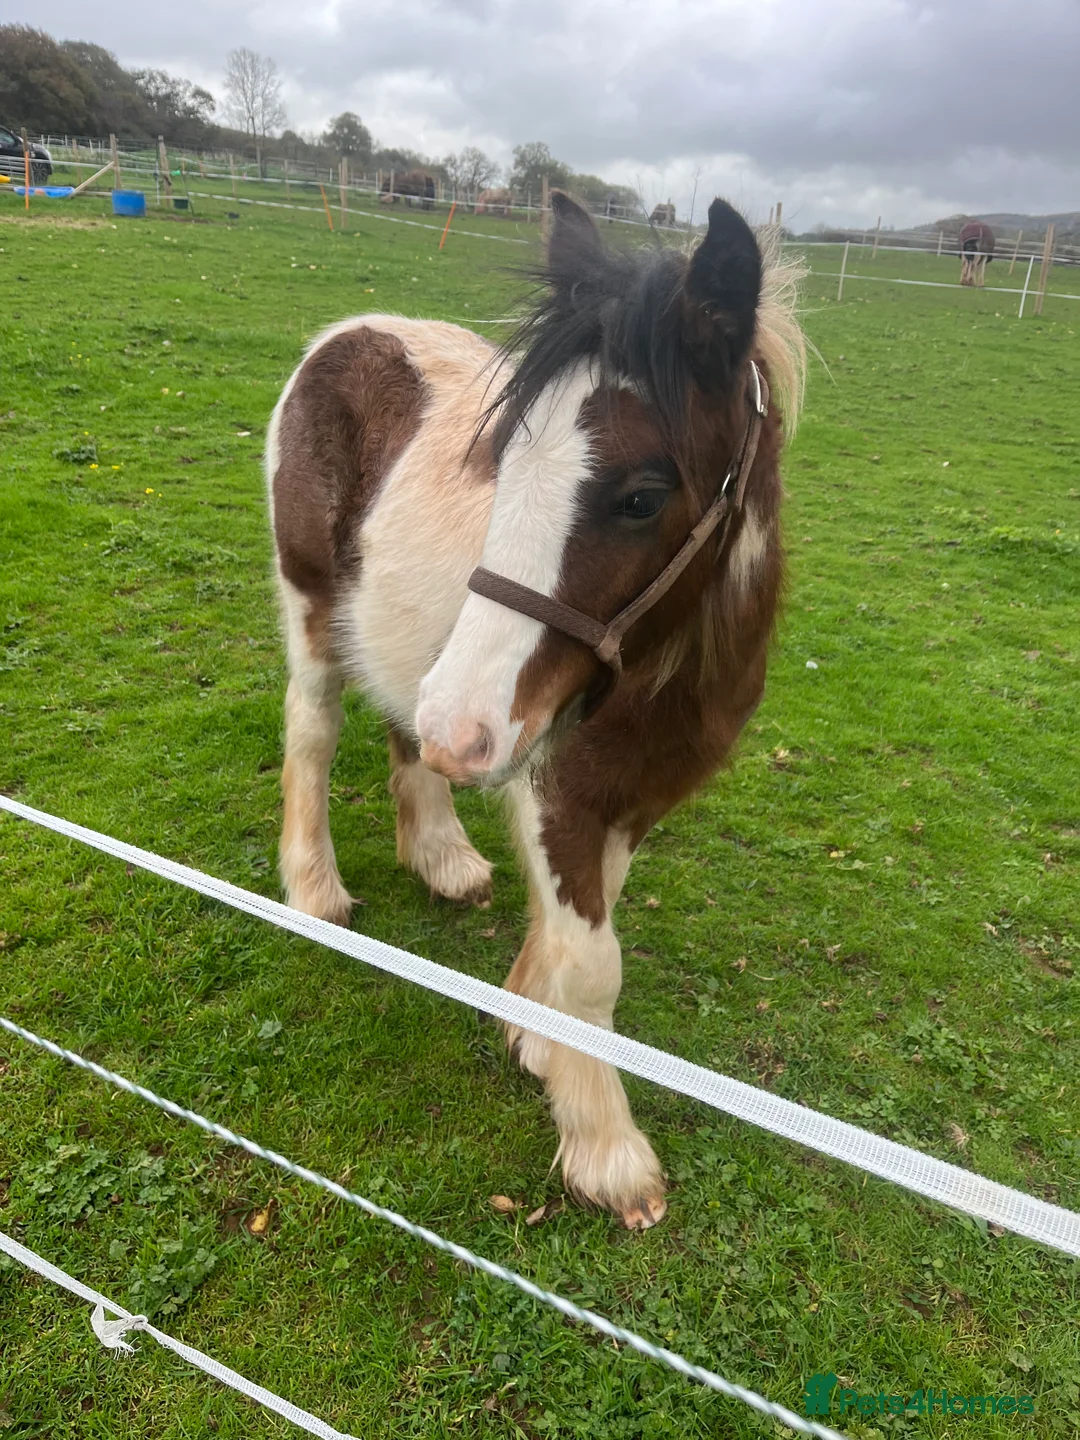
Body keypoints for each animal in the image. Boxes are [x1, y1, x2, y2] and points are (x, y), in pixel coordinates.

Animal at [266, 193, 805, 1228]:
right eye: (501, 464)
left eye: (641, 496)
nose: (463, 727)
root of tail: (342, 335)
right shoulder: (560, 788)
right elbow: (594, 964)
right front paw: (606, 1149)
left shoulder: (631, 797)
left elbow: (577, 934)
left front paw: (534, 1035)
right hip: (316, 611)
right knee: (315, 731)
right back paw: (314, 890)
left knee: (403, 726)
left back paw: (441, 856)